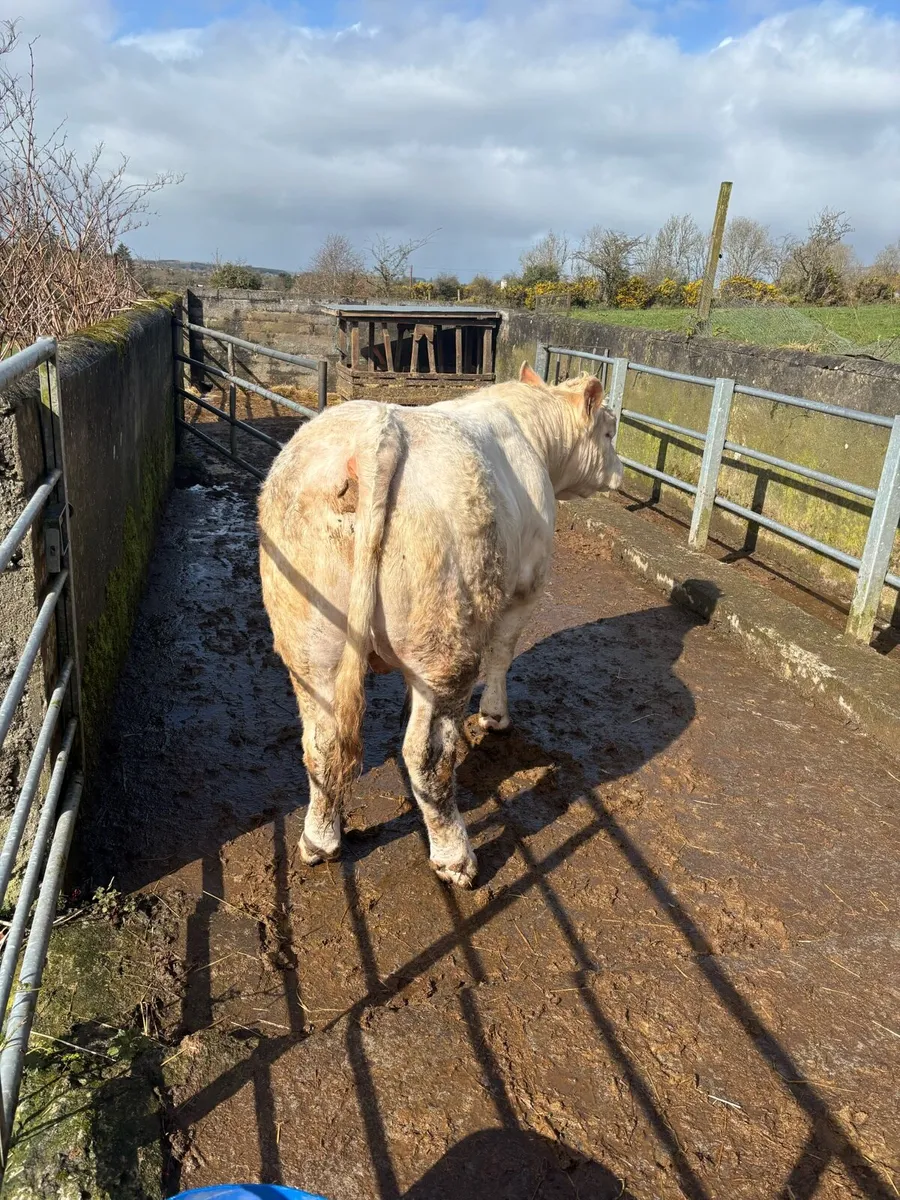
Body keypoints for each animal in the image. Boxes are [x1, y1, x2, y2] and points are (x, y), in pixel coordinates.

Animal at [258, 363, 623, 889]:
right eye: (609, 432)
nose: (620, 472)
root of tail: (375, 433)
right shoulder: (524, 589)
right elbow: (503, 654)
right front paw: (495, 716)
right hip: (447, 646)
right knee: (428, 756)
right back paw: (455, 857)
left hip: (310, 645)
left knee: (322, 743)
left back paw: (319, 841)